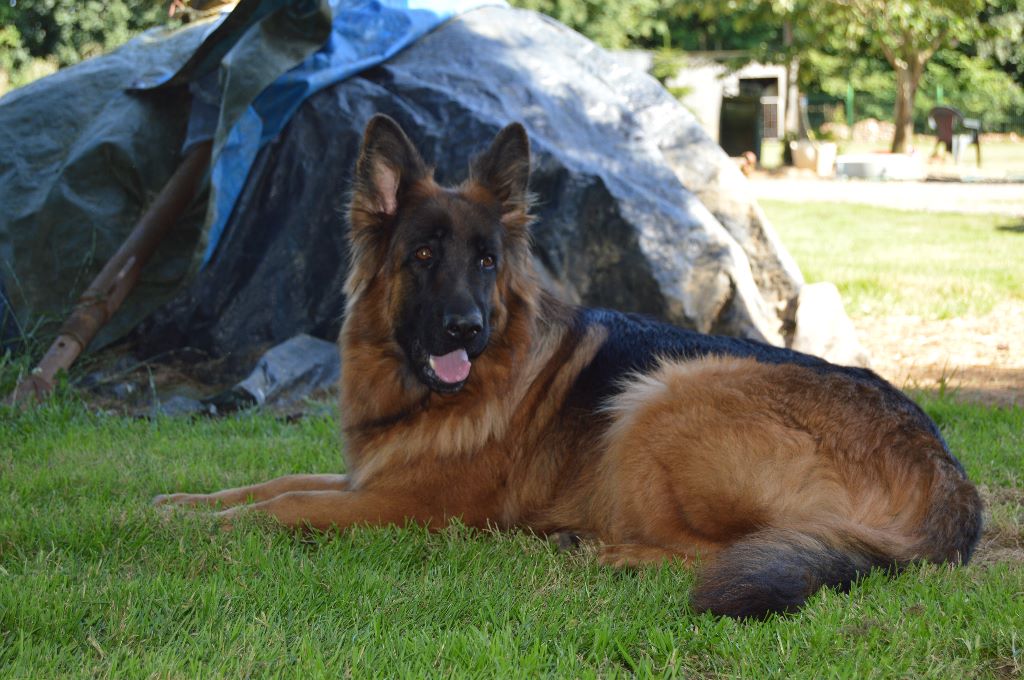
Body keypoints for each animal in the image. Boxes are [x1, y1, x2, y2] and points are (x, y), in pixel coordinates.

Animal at [153, 115, 983, 614]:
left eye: (486, 261)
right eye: (422, 256)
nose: (467, 328)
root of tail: (949, 483)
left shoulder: (404, 507)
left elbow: (283, 505)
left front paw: (201, 529)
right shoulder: (369, 479)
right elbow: (272, 482)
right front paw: (178, 504)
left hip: (663, 393)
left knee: (708, 553)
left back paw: (596, 550)